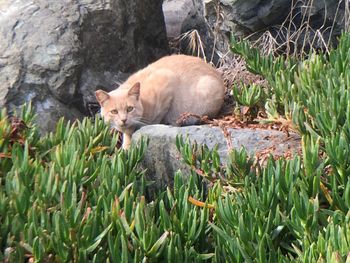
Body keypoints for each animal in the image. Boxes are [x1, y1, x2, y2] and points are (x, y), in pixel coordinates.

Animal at [95, 54, 224, 150]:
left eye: (129, 109)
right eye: (114, 111)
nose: (124, 119)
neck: (144, 102)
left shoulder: (166, 79)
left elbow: (155, 119)